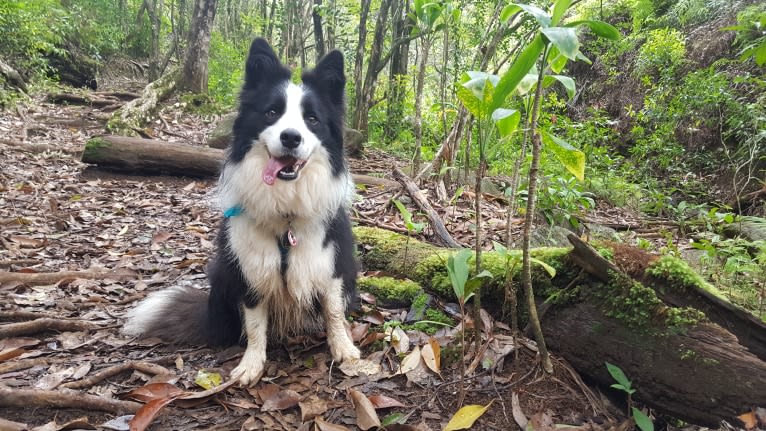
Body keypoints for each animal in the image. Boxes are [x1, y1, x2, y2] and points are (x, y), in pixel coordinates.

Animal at [124, 38, 364, 386]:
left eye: (312, 119)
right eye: (272, 112)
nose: (290, 137)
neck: (286, 212)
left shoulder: (330, 263)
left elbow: (333, 311)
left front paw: (344, 349)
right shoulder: (250, 270)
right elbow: (254, 325)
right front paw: (251, 364)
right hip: (223, 272)